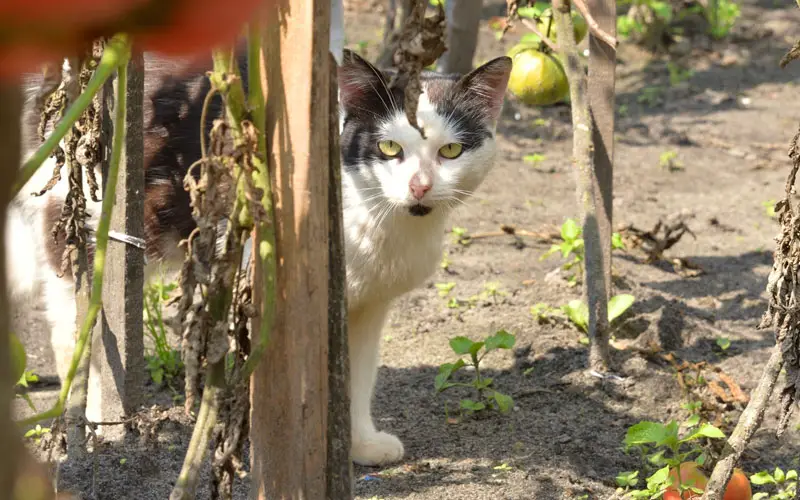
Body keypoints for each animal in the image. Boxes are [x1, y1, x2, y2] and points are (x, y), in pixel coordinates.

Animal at [7, 48, 512, 466]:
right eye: (389, 147)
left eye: (451, 150)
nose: (420, 186)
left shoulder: (367, 307)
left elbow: (358, 377)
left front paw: (360, 444)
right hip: (82, 224)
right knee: (75, 335)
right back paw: (88, 430)